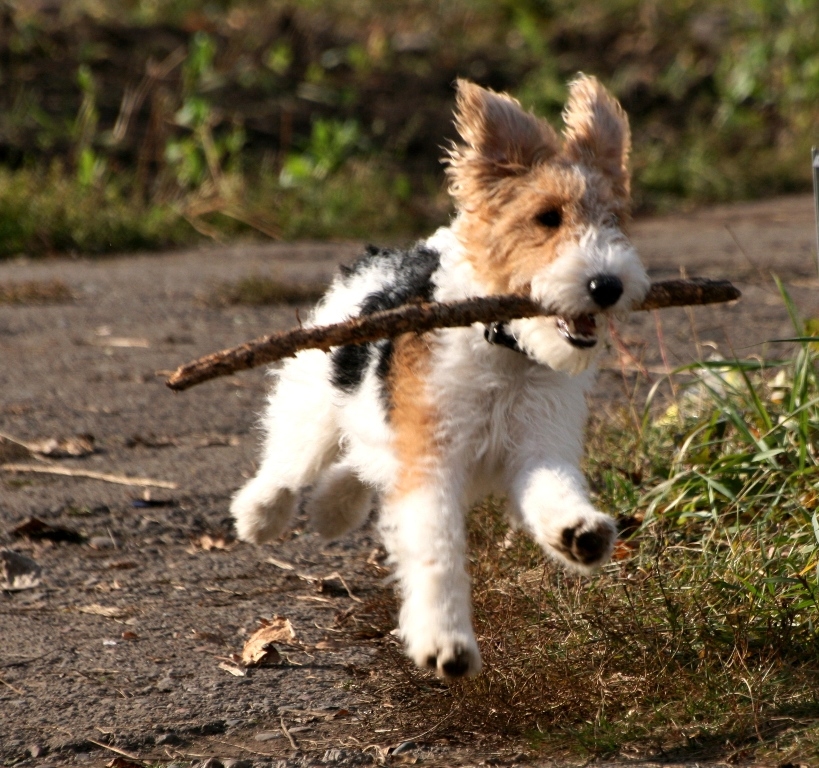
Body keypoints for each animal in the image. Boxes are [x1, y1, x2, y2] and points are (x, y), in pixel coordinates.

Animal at [232, 75, 652, 680]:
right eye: (547, 217)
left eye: (614, 219)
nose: (607, 285)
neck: (504, 351)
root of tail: (388, 255)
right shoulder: (432, 461)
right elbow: (435, 551)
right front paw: (445, 643)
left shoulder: (535, 448)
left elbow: (555, 491)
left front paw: (581, 534)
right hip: (315, 399)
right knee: (289, 463)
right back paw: (260, 515)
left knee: (361, 467)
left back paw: (334, 509)